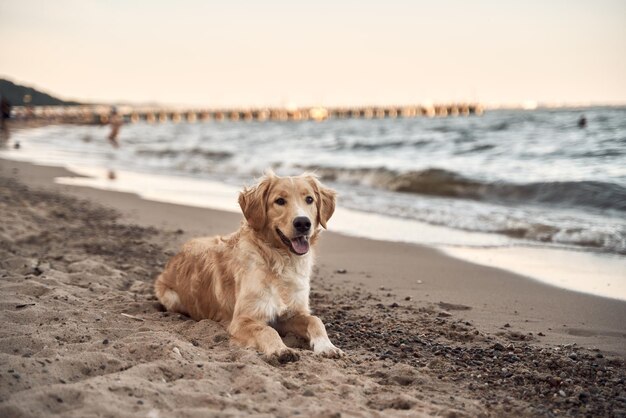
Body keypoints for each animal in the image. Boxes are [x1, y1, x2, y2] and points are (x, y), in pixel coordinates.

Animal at [154, 171, 344, 362]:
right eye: (280, 201)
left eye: (309, 199)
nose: (303, 223)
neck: (282, 262)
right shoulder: (242, 320)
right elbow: (267, 330)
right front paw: (280, 349)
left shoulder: (290, 314)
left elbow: (315, 320)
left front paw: (327, 346)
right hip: (171, 297)